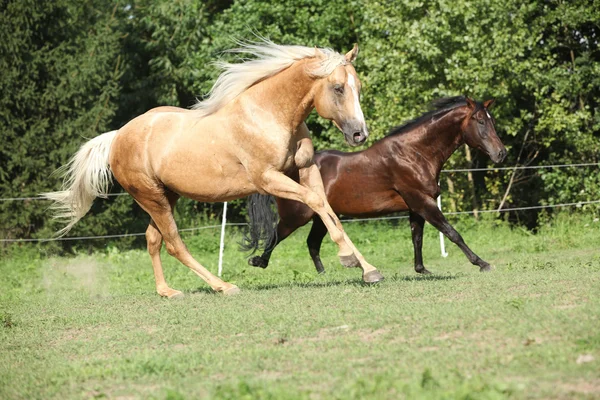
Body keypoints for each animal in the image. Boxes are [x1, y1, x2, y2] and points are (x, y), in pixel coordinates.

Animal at [44, 40, 386, 296]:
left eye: (358, 87)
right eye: (339, 88)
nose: (359, 134)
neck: (269, 114)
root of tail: (118, 136)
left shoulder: (305, 170)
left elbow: (327, 208)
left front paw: (368, 270)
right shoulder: (268, 179)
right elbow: (317, 203)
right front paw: (347, 258)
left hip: (166, 196)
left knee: (153, 240)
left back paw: (167, 292)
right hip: (151, 197)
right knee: (174, 244)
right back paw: (223, 286)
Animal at [247, 96, 506, 276]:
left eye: (492, 120)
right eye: (480, 121)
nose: (501, 153)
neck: (413, 154)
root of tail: (284, 170)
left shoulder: (415, 207)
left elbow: (417, 238)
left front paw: (421, 269)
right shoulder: (423, 203)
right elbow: (453, 233)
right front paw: (482, 263)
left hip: (323, 217)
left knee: (312, 243)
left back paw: (324, 274)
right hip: (297, 215)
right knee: (278, 235)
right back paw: (258, 261)